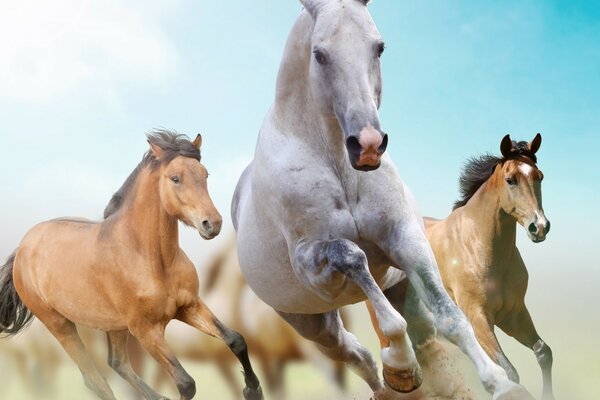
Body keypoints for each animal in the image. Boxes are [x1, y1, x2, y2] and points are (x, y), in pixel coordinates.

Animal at [0, 130, 262, 400]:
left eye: (205, 174)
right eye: (175, 178)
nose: (212, 223)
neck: (152, 259)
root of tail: (22, 248)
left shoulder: (189, 306)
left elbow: (236, 340)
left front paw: (253, 390)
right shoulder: (145, 329)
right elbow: (185, 383)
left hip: (113, 325)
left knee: (117, 364)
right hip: (60, 325)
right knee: (95, 379)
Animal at [232, 1, 532, 398]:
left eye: (379, 47)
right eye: (319, 54)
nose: (368, 145)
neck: (338, 165)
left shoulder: (405, 239)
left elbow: (451, 318)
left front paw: (500, 383)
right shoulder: (312, 265)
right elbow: (354, 259)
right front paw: (401, 363)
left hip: (400, 287)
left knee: (419, 334)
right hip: (313, 324)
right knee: (355, 354)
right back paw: (397, 375)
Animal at [370, 135, 552, 400]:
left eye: (539, 176)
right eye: (511, 180)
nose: (539, 227)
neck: (478, 247)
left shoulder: (514, 314)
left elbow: (543, 352)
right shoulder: (478, 317)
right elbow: (509, 370)